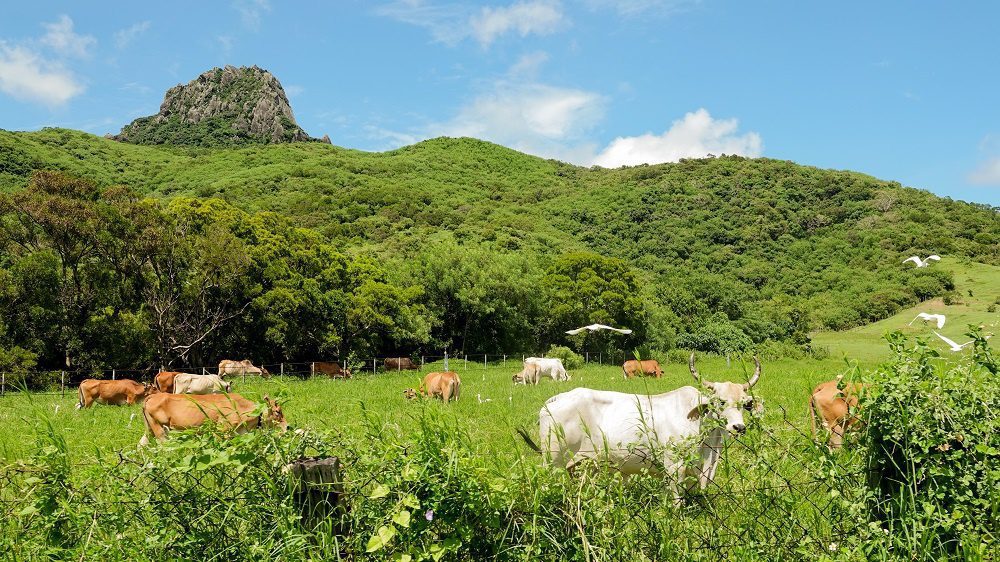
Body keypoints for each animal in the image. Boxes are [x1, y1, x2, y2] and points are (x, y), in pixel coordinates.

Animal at [138, 392, 286, 444]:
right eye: (278, 412)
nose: (288, 426)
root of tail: (153, 395)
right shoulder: (221, 431)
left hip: (149, 429)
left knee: (142, 444)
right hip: (160, 430)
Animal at [520, 354, 760, 494]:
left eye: (745, 403)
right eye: (720, 401)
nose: (738, 427)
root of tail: (555, 399)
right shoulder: (673, 467)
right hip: (553, 461)